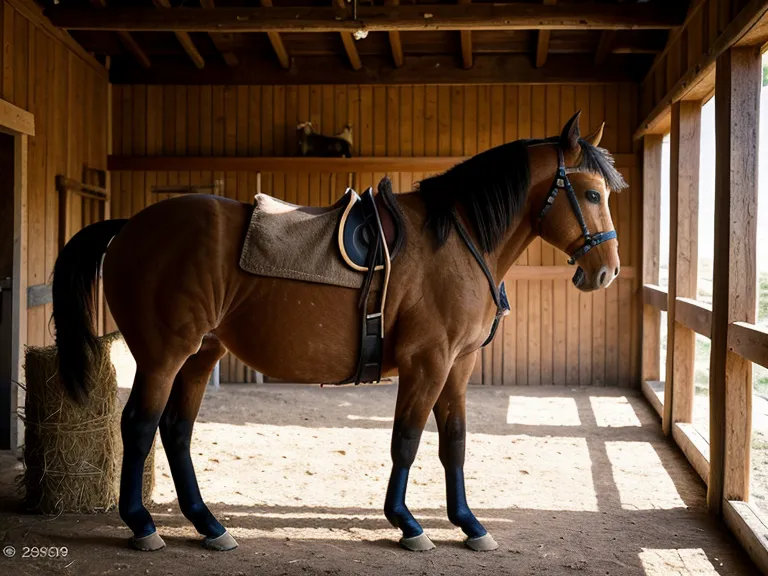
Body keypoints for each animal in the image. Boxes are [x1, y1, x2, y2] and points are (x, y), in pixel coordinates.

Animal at [51, 111, 625, 553]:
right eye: (591, 194)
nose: (606, 272)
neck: (456, 242)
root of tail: (130, 226)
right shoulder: (428, 361)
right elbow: (406, 441)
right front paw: (407, 524)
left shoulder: (458, 366)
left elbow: (455, 443)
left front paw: (469, 524)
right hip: (163, 355)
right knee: (139, 426)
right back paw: (142, 524)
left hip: (199, 355)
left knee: (175, 430)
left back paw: (209, 525)